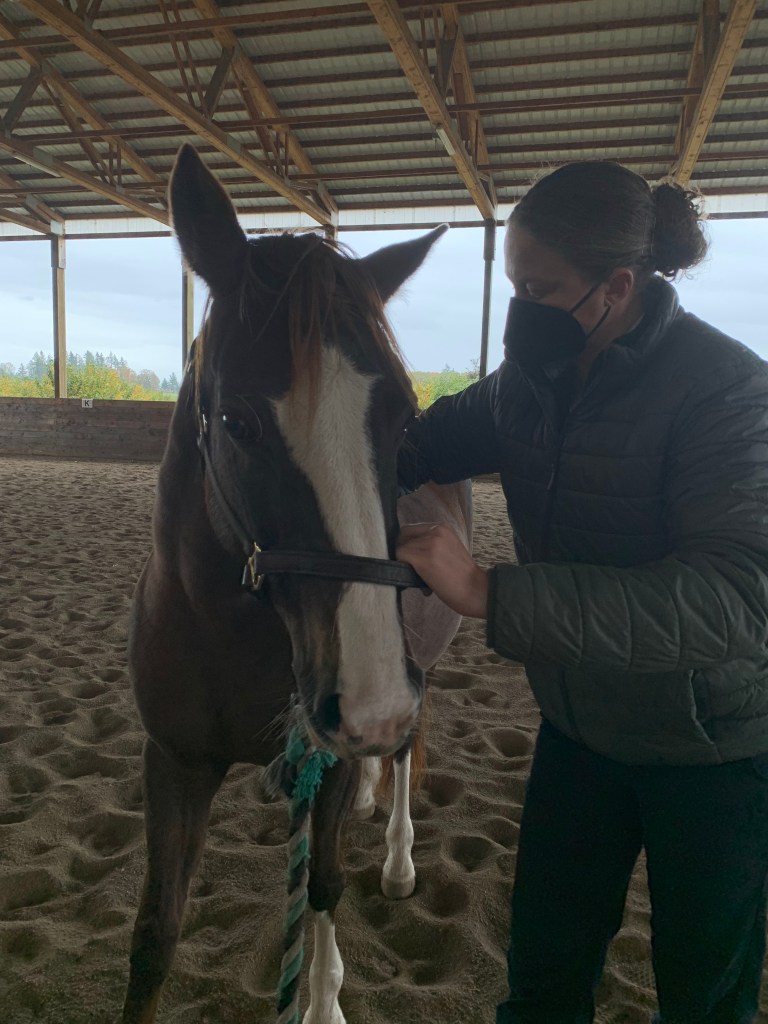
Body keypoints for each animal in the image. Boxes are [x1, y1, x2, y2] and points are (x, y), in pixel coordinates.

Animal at [122, 143, 472, 1024]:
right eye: (237, 421)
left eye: (402, 417)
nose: (371, 702)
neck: (229, 627)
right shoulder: (173, 761)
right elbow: (154, 935)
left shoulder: (339, 749)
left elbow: (322, 884)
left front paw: (324, 1000)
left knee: (409, 753)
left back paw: (399, 855)